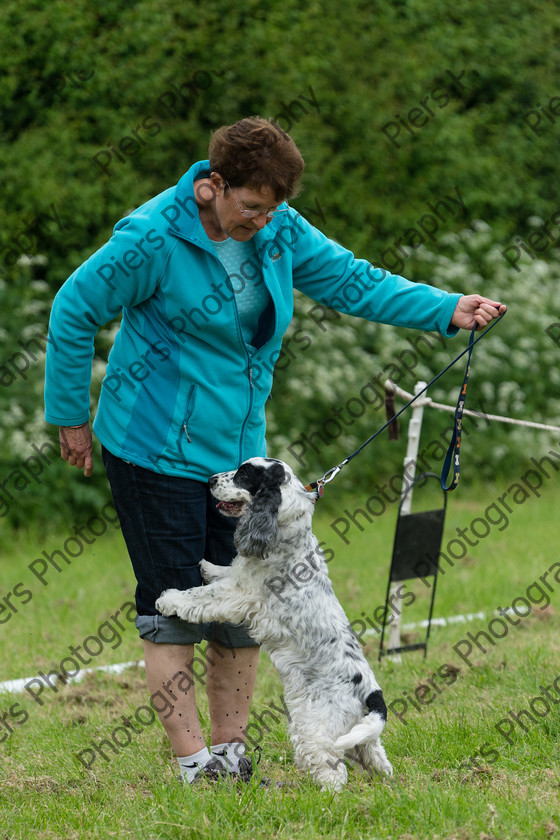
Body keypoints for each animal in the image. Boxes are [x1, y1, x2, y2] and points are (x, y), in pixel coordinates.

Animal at [156, 456, 394, 792]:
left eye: (244, 474)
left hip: (316, 728)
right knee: (375, 753)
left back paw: (324, 795)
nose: (211, 479)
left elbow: (201, 596)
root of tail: (373, 695)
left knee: (333, 770)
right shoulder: (238, 578)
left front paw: (169, 599)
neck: (287, 530)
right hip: (358, 733)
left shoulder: (239, 595)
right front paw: (205, 565)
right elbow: (223, 571)